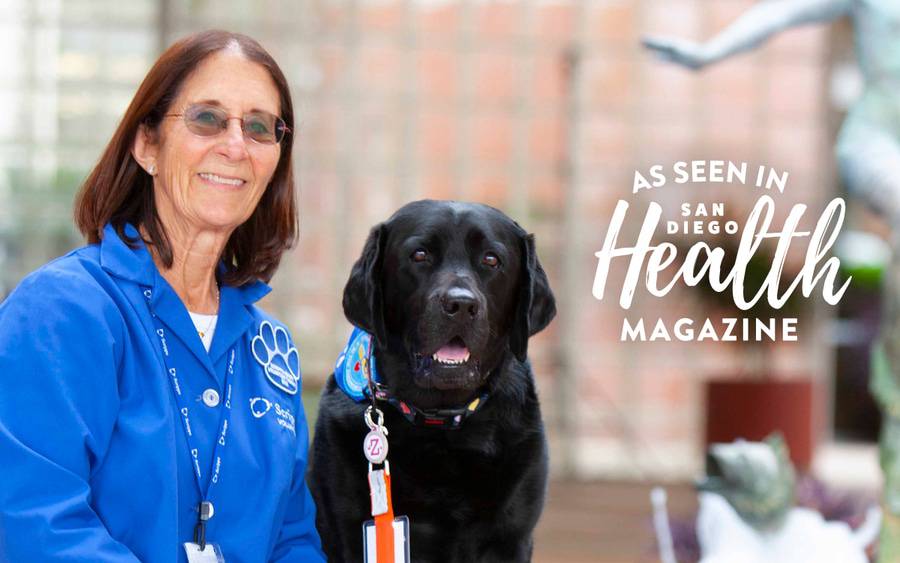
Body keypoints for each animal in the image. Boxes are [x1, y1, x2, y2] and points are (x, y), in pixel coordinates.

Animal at [312, 200, 560, 560]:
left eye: (491, 259)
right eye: (419, 255)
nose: (460, 304)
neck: (442, 425)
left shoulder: (511, 536)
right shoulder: (346, 529)